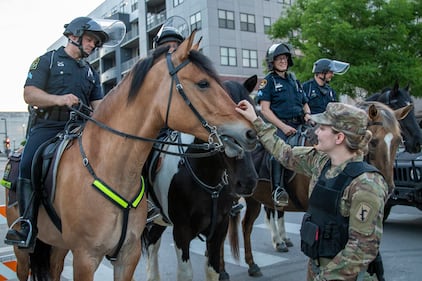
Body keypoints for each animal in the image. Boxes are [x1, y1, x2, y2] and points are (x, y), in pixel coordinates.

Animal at [142, 74, 258, 280]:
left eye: (251, 109)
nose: (247, 182)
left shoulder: (219, 228)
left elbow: (213, 270)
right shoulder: (181, 231)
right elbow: (186, 273)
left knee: (152, 243)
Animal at [226, 99, 410, 276]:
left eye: (398, 141)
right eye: (373, 142)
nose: (388, 189)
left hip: (254, 198)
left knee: (249, 224)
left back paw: (260, 257)